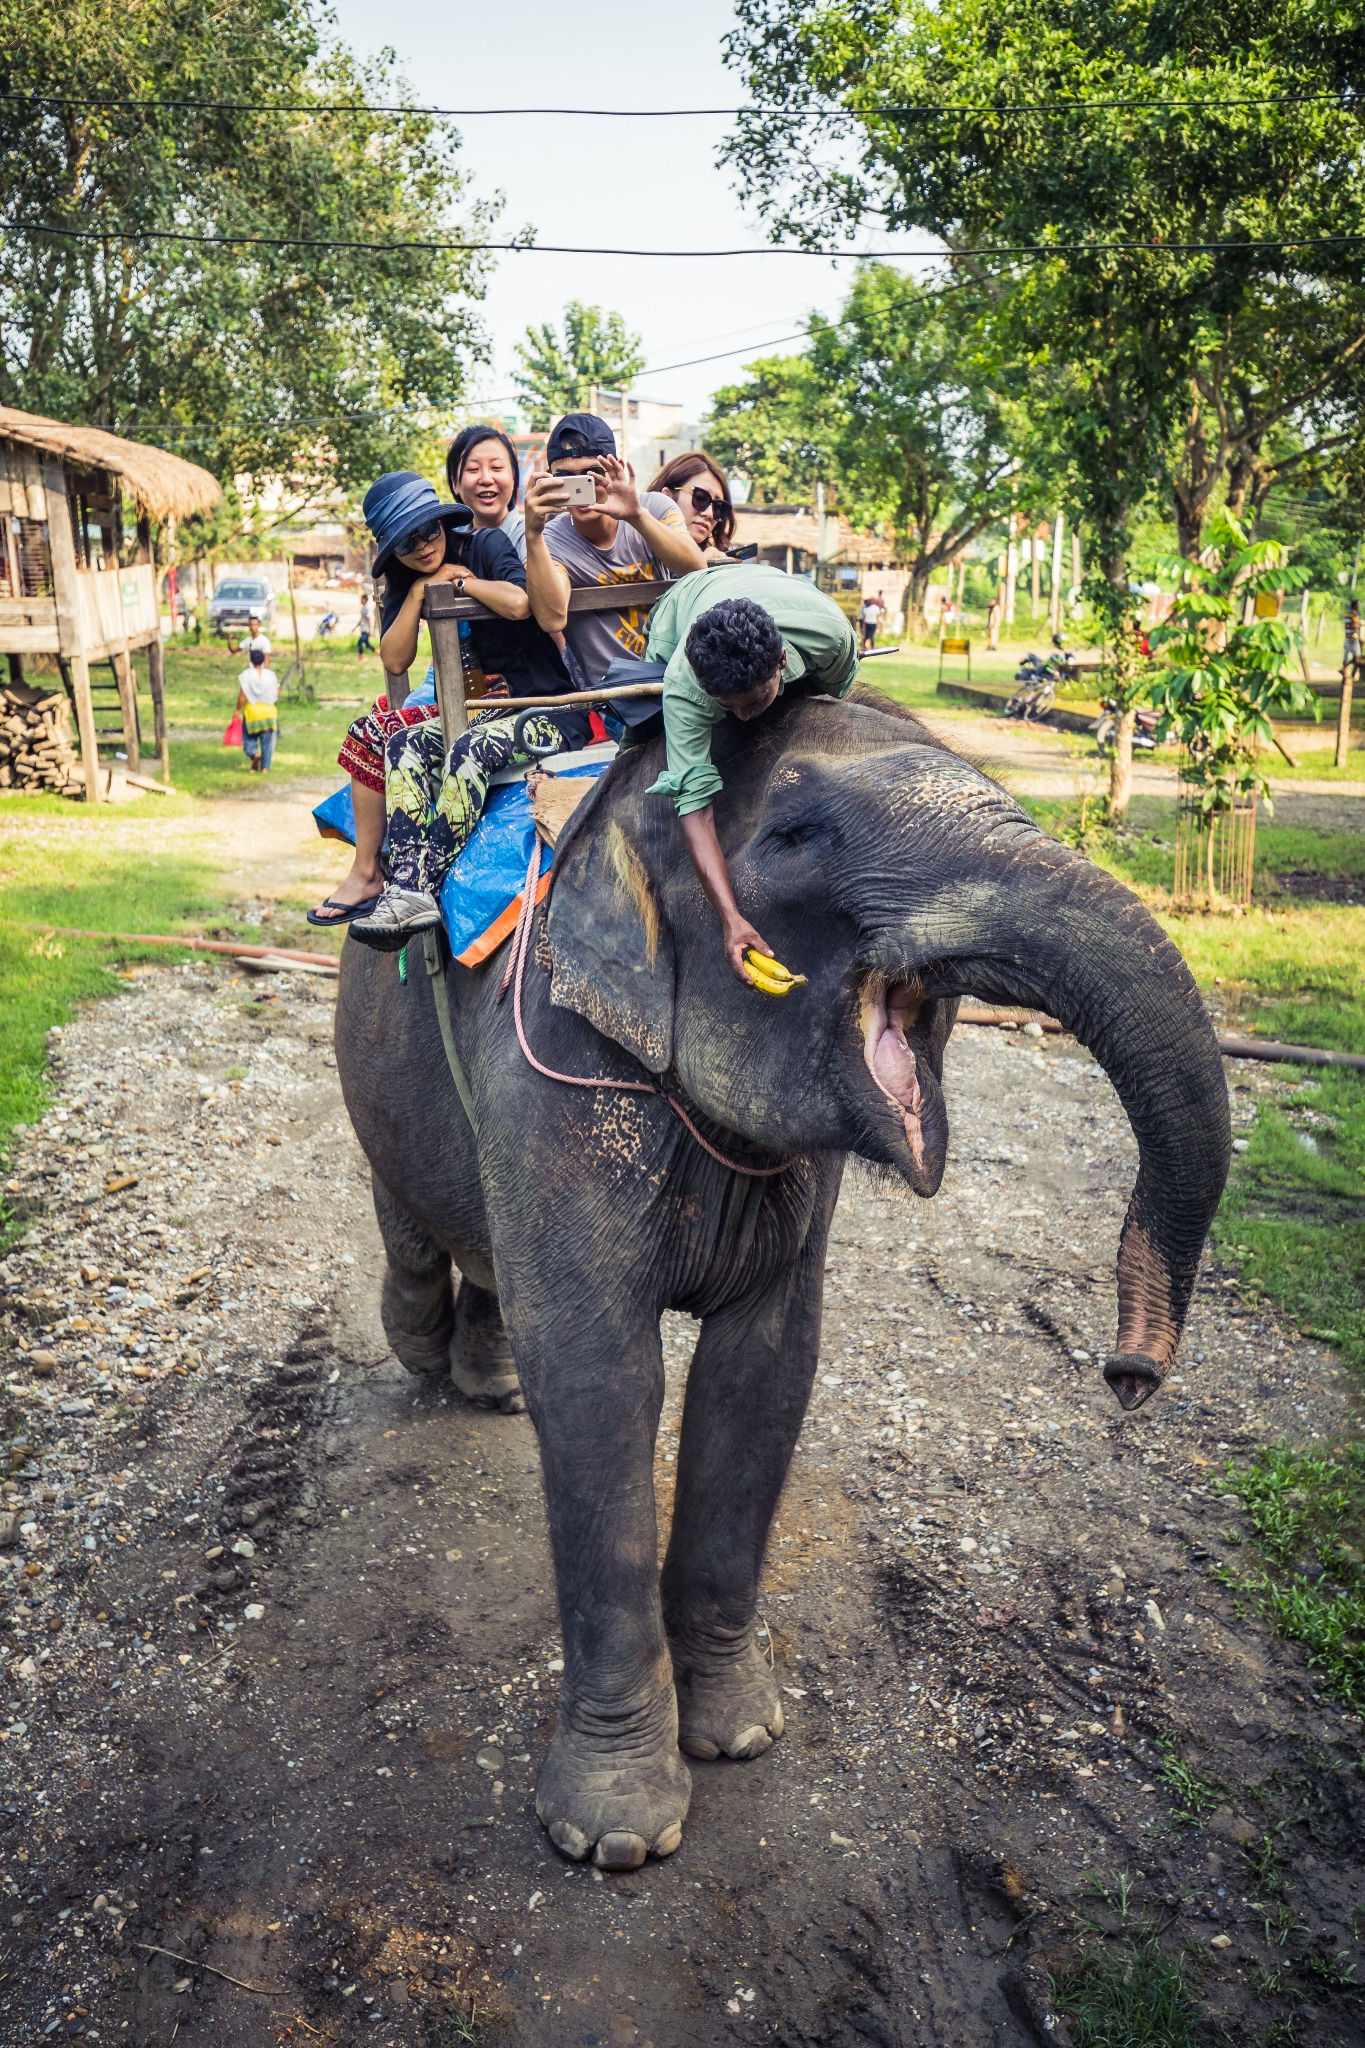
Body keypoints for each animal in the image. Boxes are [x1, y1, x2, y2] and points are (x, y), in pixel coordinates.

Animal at [335, 688, 1236, 1875]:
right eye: (799, 838)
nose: (1128, 1375)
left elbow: (762, 1370)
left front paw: (739, 1737)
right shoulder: (555, 1067)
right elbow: (599, 1377)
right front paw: (615, 1839)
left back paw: (489, 1384)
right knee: (410, 1221)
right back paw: (422, 1348)